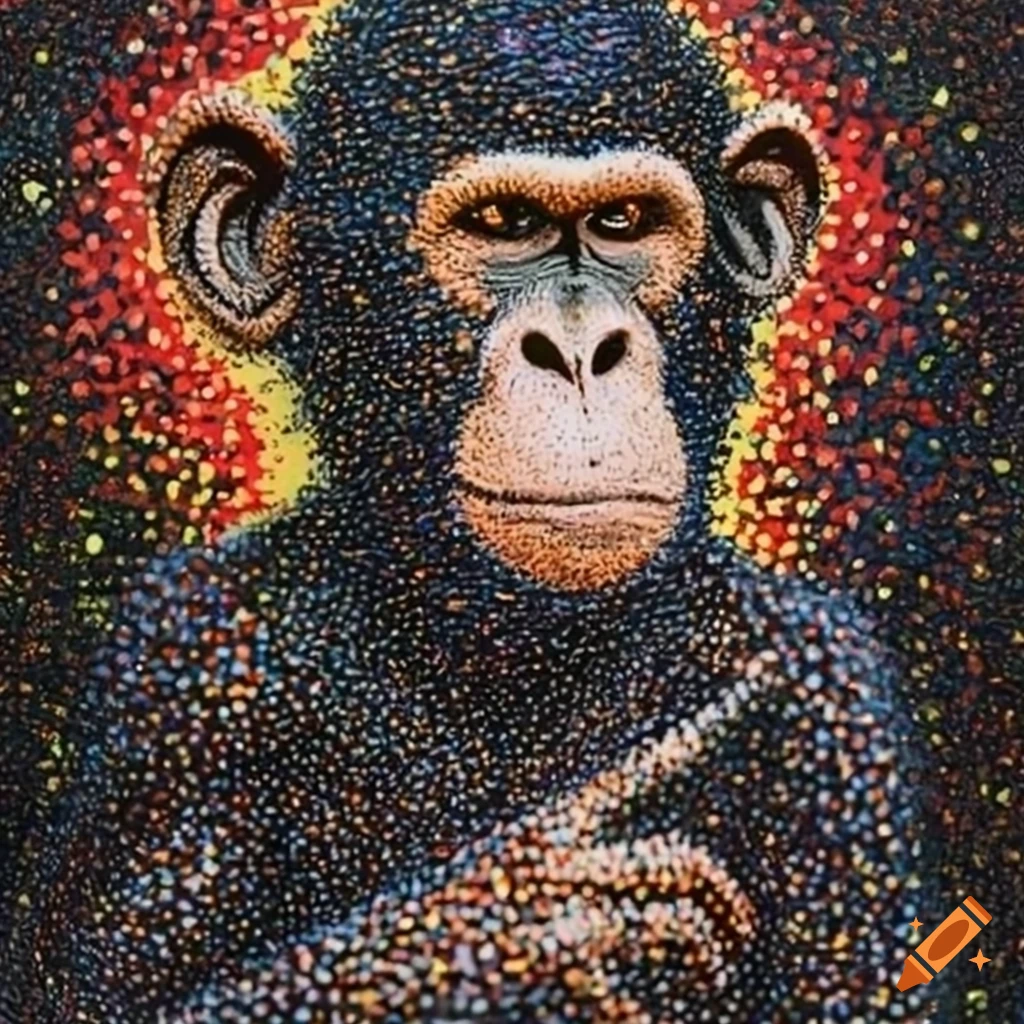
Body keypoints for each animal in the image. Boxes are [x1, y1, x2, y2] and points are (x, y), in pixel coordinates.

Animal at [40, 1, 921, 1020]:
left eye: (624, 223)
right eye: (505, 223)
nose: (581, 350)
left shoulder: (840, 724)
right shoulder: (175, 675)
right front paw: (510, 920)